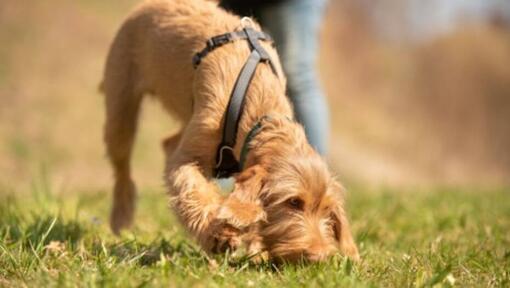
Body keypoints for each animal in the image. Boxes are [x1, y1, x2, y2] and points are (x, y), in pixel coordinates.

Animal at [102, 0, 358, 262]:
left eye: (326, 209)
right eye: (294, 202)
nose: (319, 256)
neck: (260, 111)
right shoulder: (186, 158)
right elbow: (194, 192)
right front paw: (217, 235)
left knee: (168, 142)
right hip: (121, 103)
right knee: (123, 164)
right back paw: (121, 215)